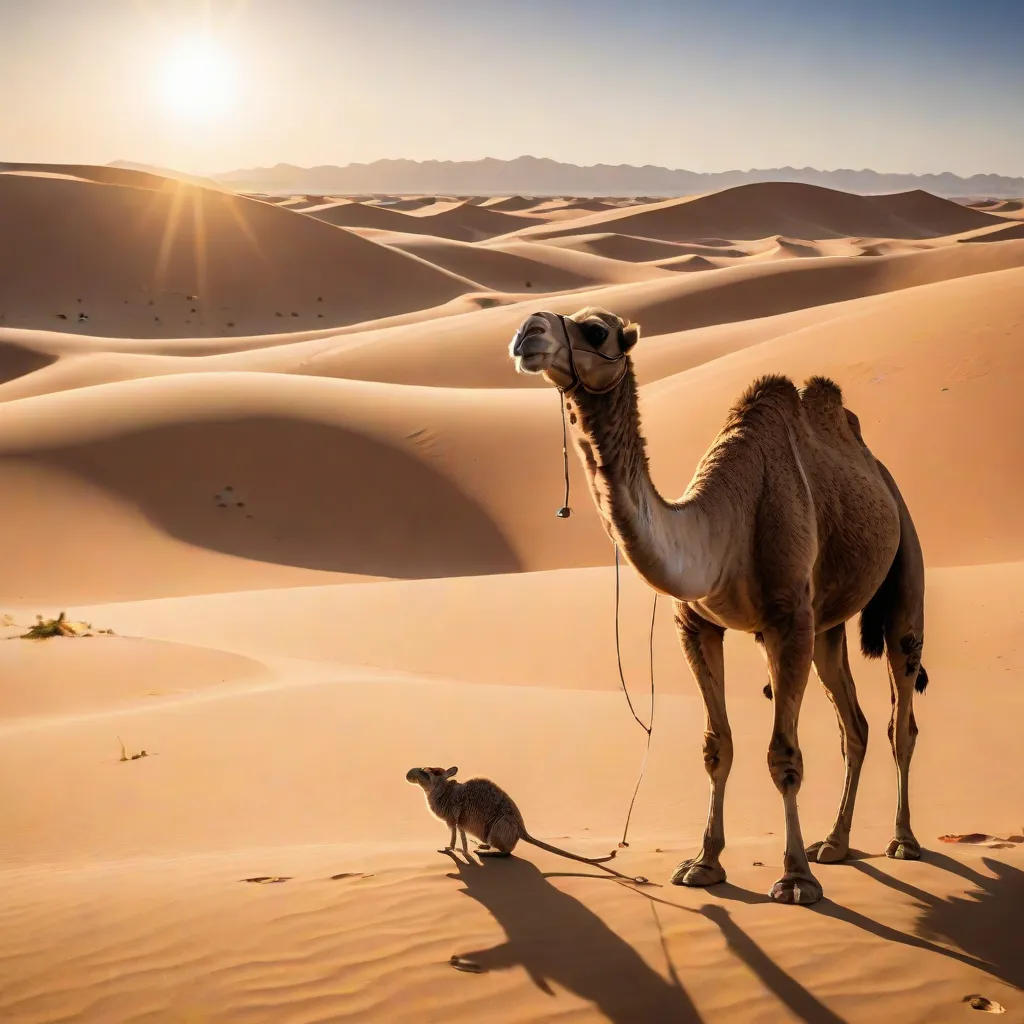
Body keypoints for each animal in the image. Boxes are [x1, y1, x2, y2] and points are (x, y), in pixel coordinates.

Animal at [509, 307, 928, 904]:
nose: (529, 331)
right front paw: (703, 864)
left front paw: (796, 878)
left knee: (901, 714)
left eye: (595, 331)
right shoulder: (697, 623)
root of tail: (881, 470)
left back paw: (902, 841)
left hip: (903, 563)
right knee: (856, 725)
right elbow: (716, 746)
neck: (726, 521)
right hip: (826, 626)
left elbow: (783, 754)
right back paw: (836, 843)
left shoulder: (787, 623)